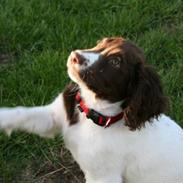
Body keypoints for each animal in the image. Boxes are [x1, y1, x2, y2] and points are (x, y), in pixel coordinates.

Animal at [0, 36, 183, 182]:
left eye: (115, 62)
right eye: (100, 42)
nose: (75, 56)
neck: (92, 113)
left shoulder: (103, 176)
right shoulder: (55, 117)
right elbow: (22, 113)